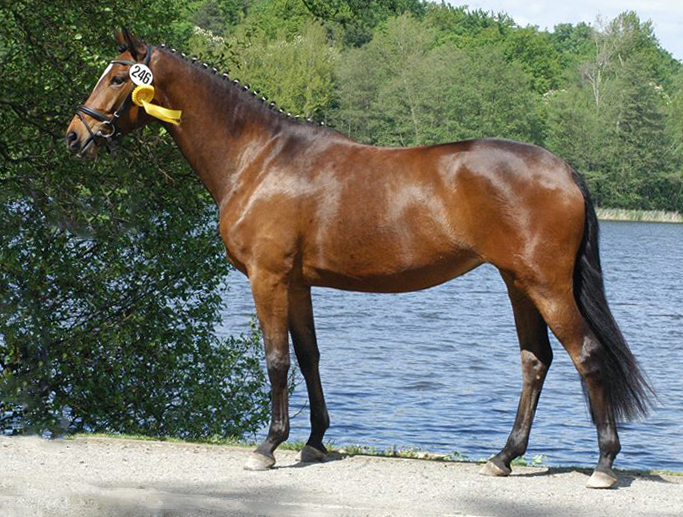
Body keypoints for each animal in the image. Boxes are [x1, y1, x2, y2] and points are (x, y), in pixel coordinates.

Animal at [67, 28, 656, 488]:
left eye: (118, 79)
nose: (76, 135)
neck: (261, 157)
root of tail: (564, 169)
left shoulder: (268, 278)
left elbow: (276, 360)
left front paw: (268, 447)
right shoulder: (298, 283)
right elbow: (309, 357)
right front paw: (314, 441)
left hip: (546, 284)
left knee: (586, 355)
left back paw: (604, 465)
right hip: (519, 282)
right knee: (536, 361)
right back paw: (503, 457)